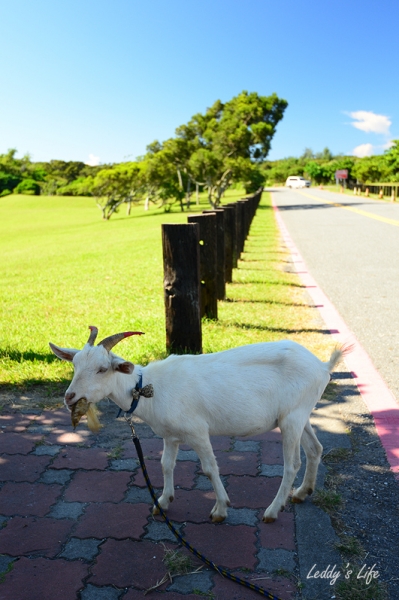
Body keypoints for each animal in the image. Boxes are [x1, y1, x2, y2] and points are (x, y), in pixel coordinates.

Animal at [50, 326, 344, 524]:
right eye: (74, 365)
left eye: (102, 369)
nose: (70, 397)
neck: (146, 388)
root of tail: (322, 366)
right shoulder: (170, 435)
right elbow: (165, 465)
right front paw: (163, 502)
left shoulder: (197, 431)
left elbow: (210, 468)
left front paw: (220, 509)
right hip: (300, 414)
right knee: (315, 449)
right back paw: (302, 493)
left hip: (292, 419)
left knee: (292, 463)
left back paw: (272, 511)